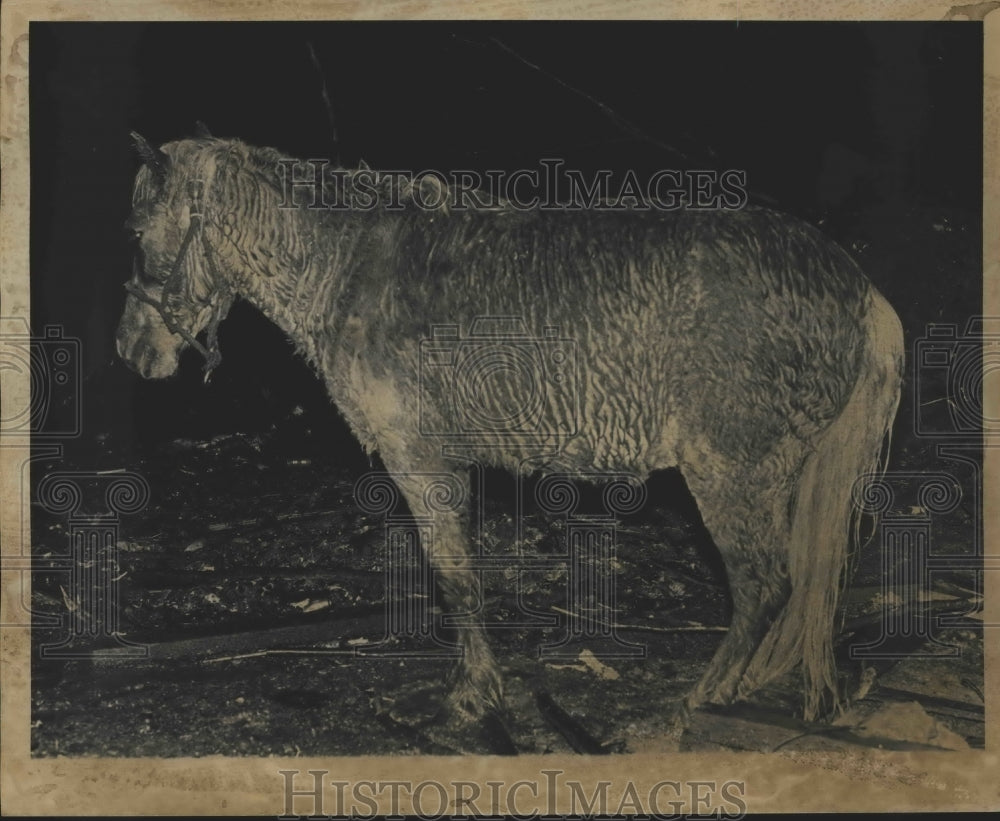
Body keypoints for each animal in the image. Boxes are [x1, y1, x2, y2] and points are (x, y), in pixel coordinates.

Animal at [117, 131, 908, 740]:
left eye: (137, 234)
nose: (129, 349)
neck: (342, 267)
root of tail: (865, 293)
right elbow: (463, 573)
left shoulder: (417, 457)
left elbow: (455, 576)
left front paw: (475, 694)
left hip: (731, 472)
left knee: (764, 581)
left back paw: (710, 692)